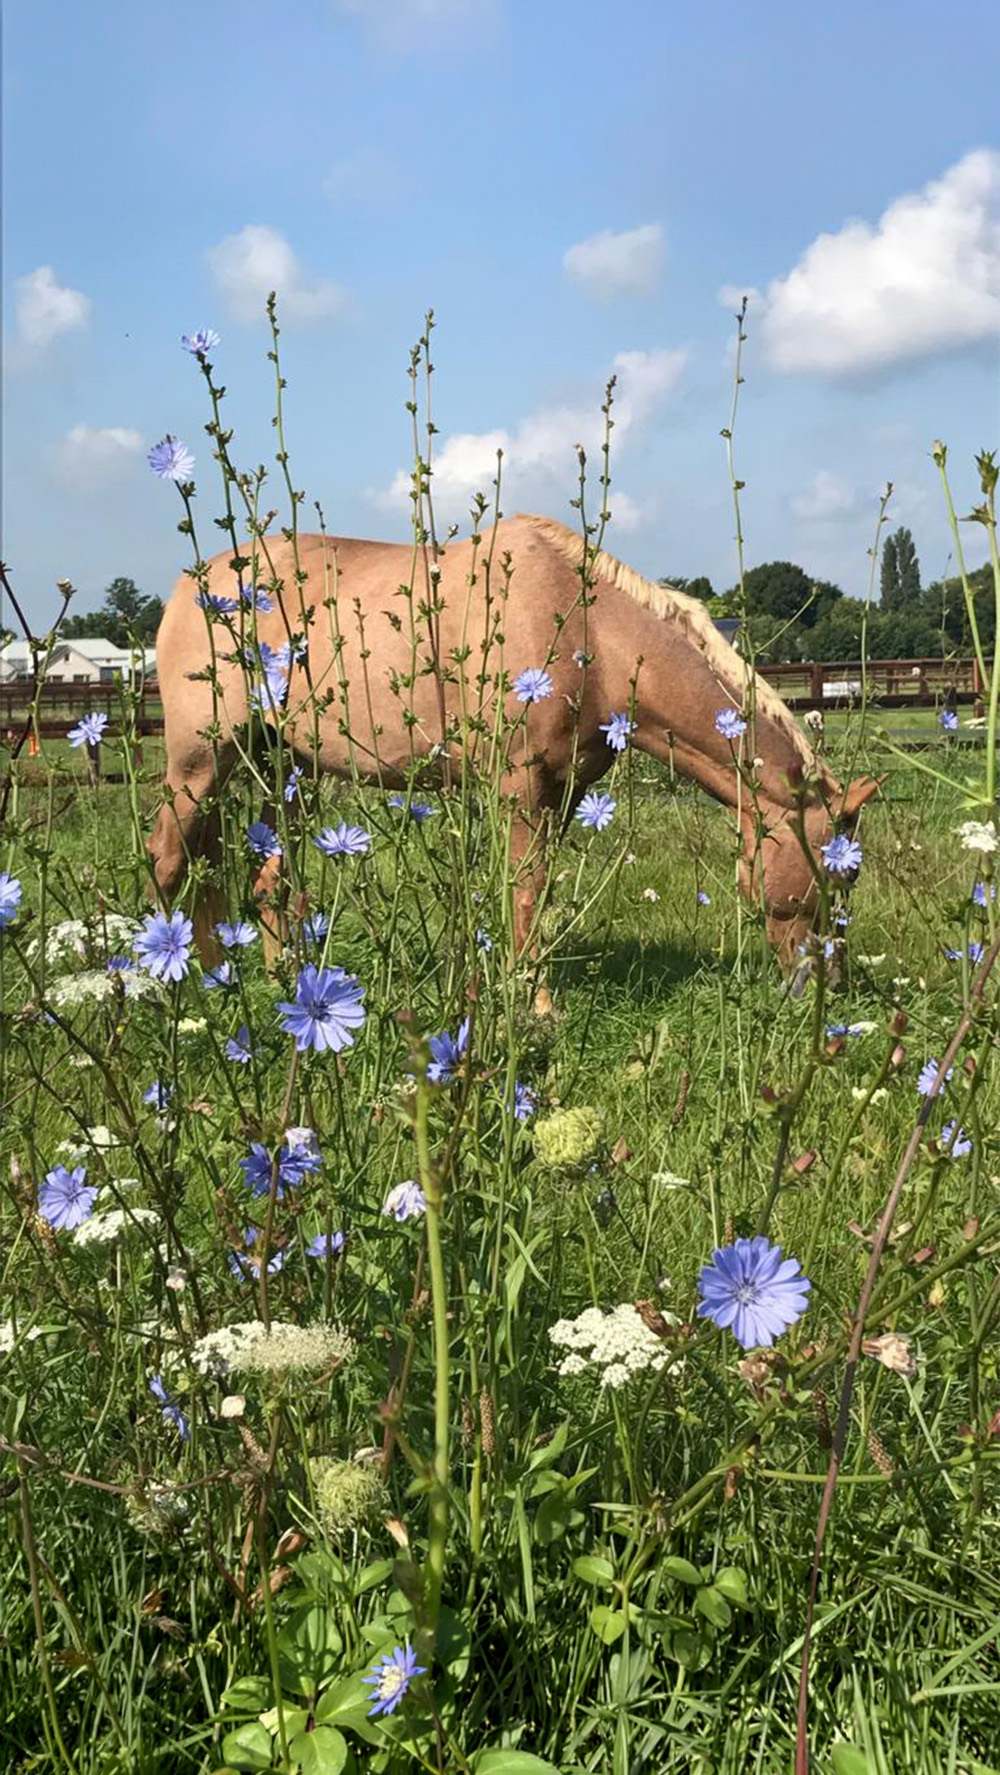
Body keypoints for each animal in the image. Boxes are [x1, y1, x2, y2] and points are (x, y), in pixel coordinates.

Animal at [146, 513, 878, 973]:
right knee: (170, 861)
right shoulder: (519, 785)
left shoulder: (565, 791)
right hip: (201, 761)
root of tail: (192, 584)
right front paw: (532, 1006)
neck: (589, 630)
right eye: (829, 875)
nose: (826, 984)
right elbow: (525, 892)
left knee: (268, 882)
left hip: (287, 767)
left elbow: (538, 894)